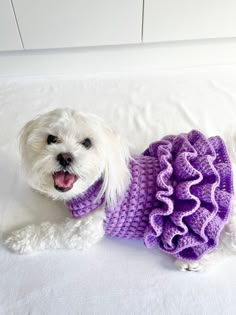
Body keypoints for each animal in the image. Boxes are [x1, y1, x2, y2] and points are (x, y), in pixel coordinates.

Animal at [4, 108, 236, 272]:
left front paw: (20, 238)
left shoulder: (82, 231)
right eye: (51, 139)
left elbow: (49, 231)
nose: (65, 156)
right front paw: (41, 187)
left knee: (226, 246)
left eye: (87, 143)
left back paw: (197, 262)